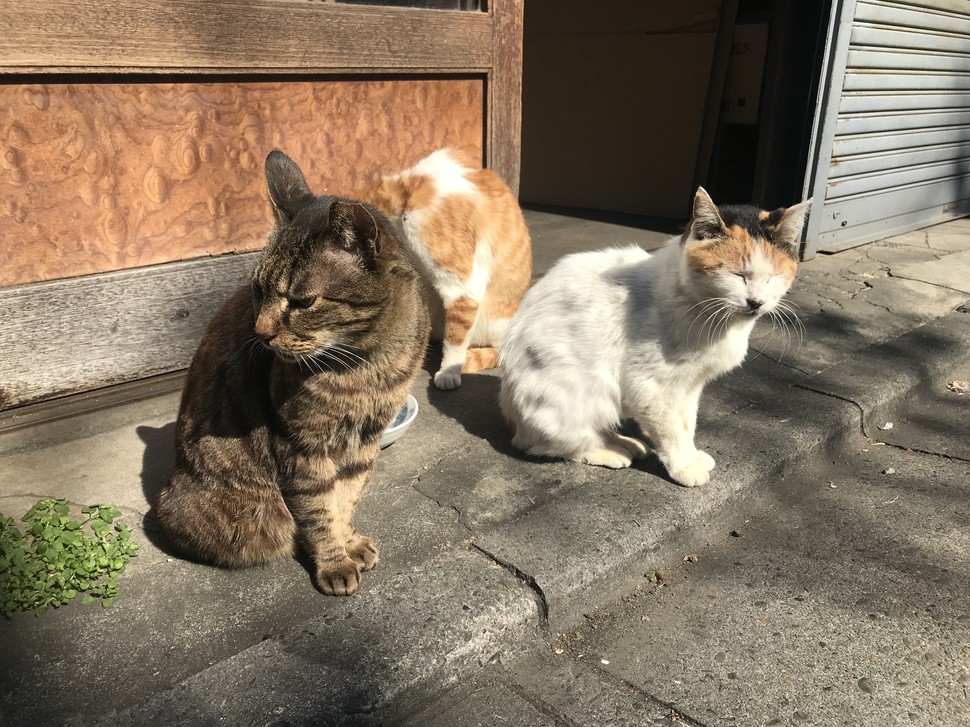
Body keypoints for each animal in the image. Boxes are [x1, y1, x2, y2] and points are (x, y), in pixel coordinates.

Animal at [154, 149, 428, 596]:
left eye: (302, 302)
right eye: (258, 290)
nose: (261, 333)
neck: (365, 366)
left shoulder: (364, 442)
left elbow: (346, 498)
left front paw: (349, 540)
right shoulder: (301, 445)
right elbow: (319, 509)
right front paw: (335, 561)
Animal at [500, 189, 808, 490]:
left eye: (773, 277)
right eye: (738, 275)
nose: (756, 302)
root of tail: (512, 416)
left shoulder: (691, 385)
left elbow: (687, 423)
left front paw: (691, 455)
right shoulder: (650, 386)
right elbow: (672, 429)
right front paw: (684, 466)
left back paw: (626, 443)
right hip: (582, 397)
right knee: (550, 444)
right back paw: (608, 451)